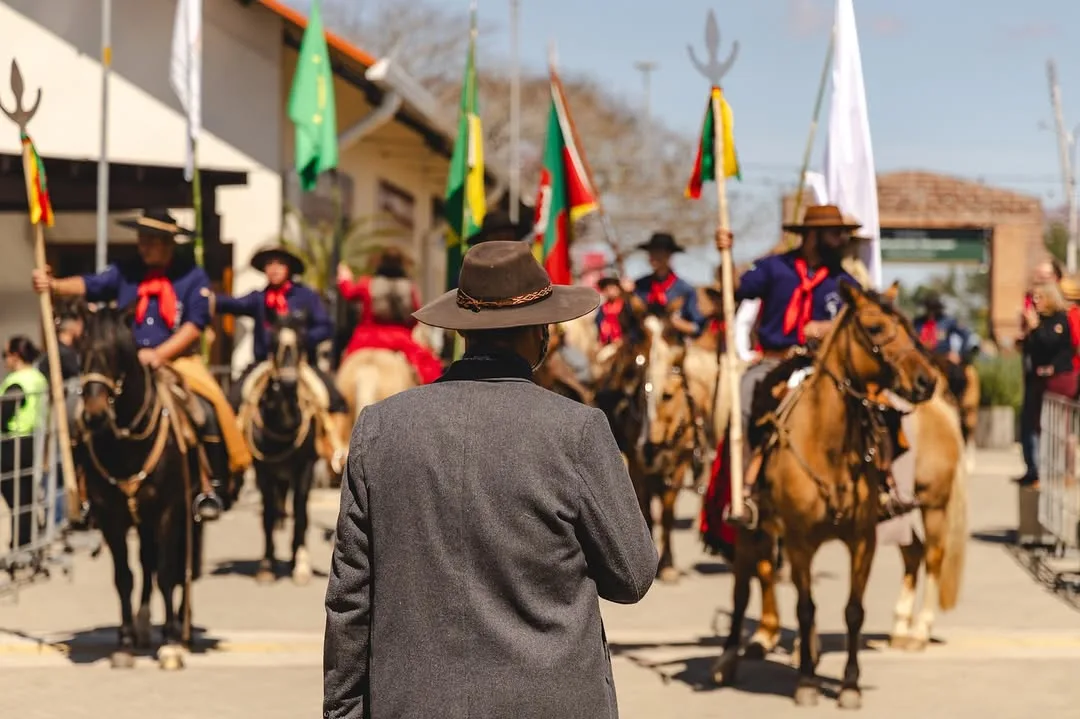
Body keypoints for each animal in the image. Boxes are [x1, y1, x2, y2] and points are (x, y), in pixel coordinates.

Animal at [76, 306, 204, 671]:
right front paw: (126, 640)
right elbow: (125, 576)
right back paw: (144, 624)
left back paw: (181, 625)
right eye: (81, 352)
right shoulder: (111, 517)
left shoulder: (169, 511)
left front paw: (172, 642)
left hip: (186, 517)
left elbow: (168, 572)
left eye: (117, 353)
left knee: (180, 570)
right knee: (147, 562)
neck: (127, 447)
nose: (94, 415)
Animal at [239, 312, 319, 586]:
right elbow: (268, 515)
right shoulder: (263, 470)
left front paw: (301, 564)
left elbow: (301, 513)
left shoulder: (305, 468)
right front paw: (266, 564)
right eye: (273, 342)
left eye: (302, 342)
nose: (288, 384)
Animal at [711, 281, 938, 709]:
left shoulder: (862, 540)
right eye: (875, 327)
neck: (828, 445)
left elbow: (852, 610)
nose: (927, 381)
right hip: (750, 531)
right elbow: (804, 608)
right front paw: (807, 681)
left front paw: (849, 684)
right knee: (742, 587)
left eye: (908, 326)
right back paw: (729, 658)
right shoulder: (798, 541)